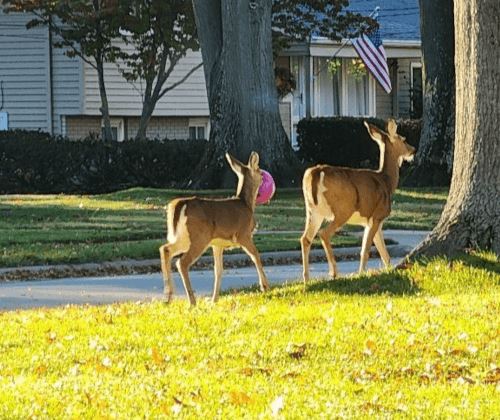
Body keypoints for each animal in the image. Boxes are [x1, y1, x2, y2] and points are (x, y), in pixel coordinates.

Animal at [159, 151, 270, 306]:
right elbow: (256, 256)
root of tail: (179, 205)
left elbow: (218, 269)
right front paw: (265, 286)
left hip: (185, 237)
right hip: (199, 237)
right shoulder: (243, 235)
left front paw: (214, 299)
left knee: (165, 249)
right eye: (259, 171)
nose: (264, 177)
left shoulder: (217, 244)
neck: (246, 204)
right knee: (182, 262)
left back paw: (168, 296)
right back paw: (191, 301)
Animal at [300, 118, 414, 282]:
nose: (413, 150)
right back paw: (334, 273)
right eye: (404, 139)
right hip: (342, 210)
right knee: (324, 234)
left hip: (313, 211)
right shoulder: (377, 215)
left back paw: (306, 278)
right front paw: (361, 274)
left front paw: (388, 271)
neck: (387, 181)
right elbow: (365, 250)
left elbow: (384, 254)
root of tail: (316, 172)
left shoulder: (372, 221)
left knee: (305, 238)